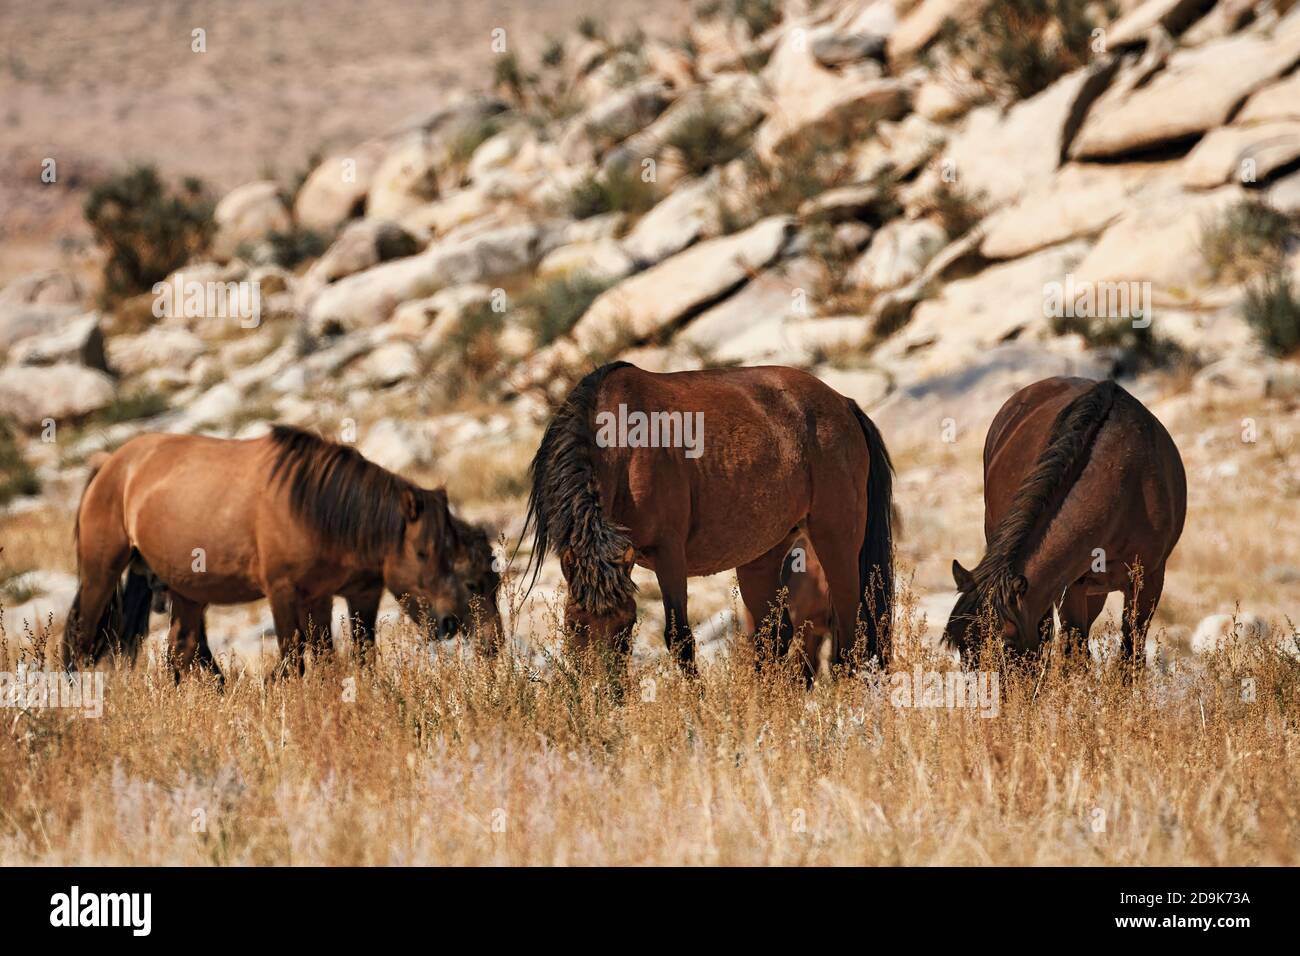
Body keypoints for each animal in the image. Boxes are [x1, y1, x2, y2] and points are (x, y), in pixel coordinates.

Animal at [64, 426, 501, 681]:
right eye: (425, 552)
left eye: (492, 583)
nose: (492, 643)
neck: (314, 507)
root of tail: (111, 463)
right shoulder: (282, 591)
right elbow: (295, 660)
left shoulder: (342, 594)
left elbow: (345, 657)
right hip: (101, 573)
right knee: (79, 646)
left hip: (187, 591)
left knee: (181, 652)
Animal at [517, 361, 894, 681]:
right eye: (574, 626)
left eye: (627, 625)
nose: (604, 693)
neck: (623, 442)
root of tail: (842, 403)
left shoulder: (669, 555)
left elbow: (680, 639)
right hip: (763, 555)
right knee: (774, 637)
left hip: (836, 540)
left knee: (851, 632)